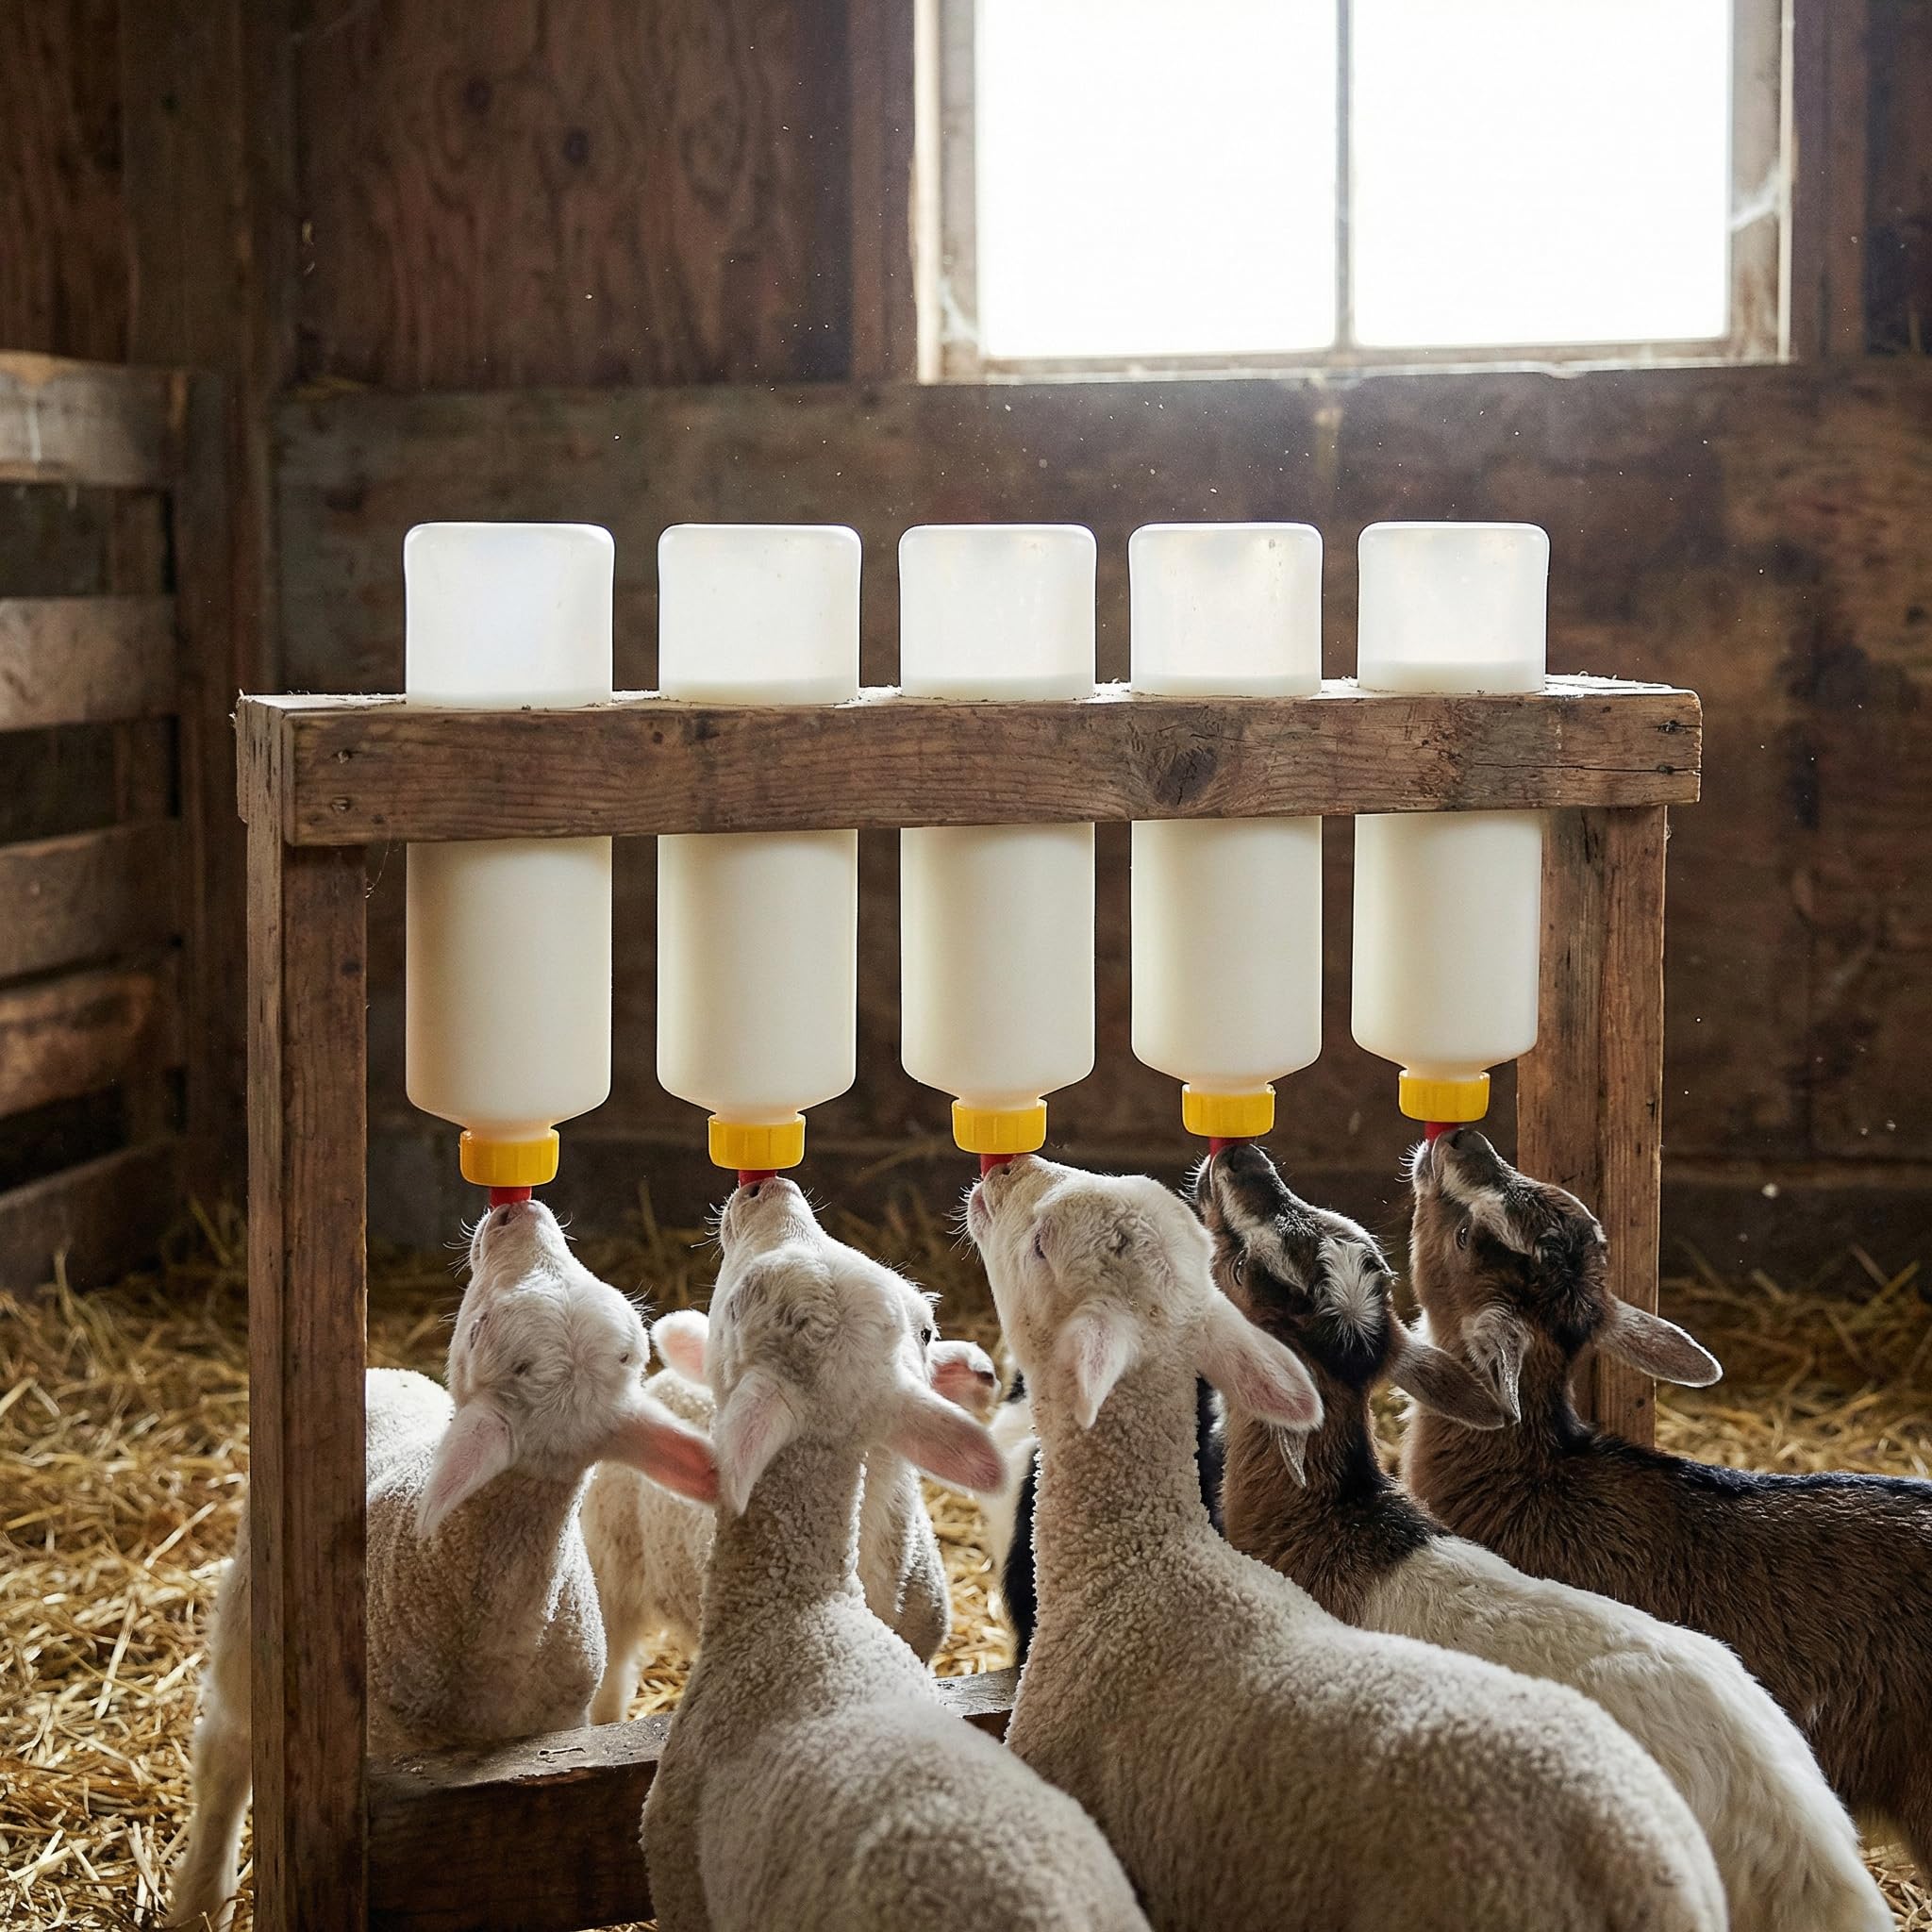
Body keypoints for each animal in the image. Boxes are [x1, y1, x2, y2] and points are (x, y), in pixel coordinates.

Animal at [166, 1199, 717, 1932]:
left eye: (478, 1329)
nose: (518, 1211)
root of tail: (382, 1373)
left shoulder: (559, 1737)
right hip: (248, 1609)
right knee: (226, 1752)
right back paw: (200, 1899)